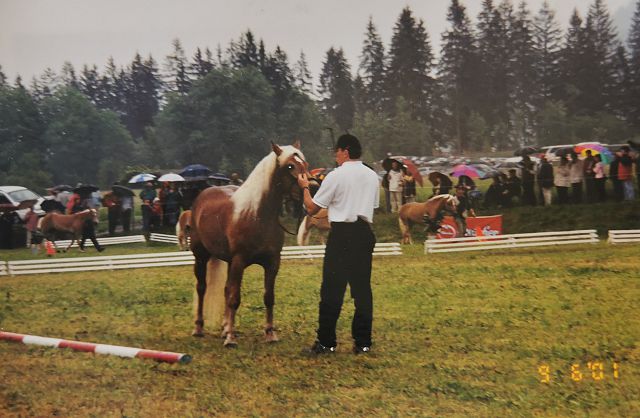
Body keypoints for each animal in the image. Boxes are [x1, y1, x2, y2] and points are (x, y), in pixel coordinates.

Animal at [190, 142, 308, 348]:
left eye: (304, 163)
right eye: (290, 166)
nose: (312, 187)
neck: (258, 216)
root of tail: (204, 193)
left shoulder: (272, 263)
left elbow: (268, 298)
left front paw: (270, 334)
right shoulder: (239, 261)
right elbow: (234, 299)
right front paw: (230, 338)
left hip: (228, 261)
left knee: (225, 289)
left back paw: (225, 328)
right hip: (201, 257)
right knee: (202, 288)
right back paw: (199, 328)